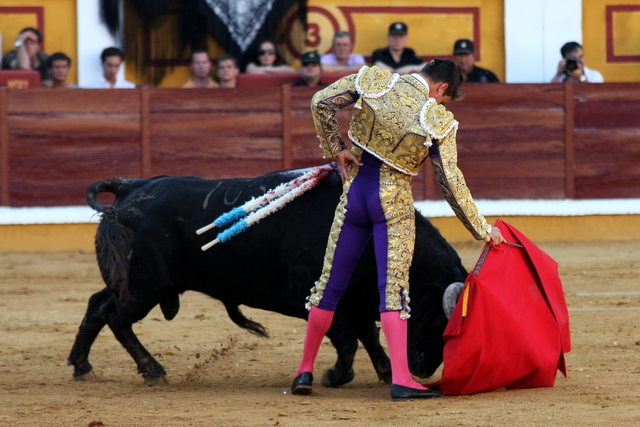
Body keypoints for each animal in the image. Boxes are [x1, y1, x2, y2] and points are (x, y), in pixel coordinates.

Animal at [66, 167, 464, 388]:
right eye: (439, 324)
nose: (423, 369)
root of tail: (130, 187)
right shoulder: (309, 293)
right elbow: (347, 339)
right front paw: (335, 377)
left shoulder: (359, 299)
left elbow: (368, 336)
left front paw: (386, 370)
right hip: (147, 286)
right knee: (116, 316)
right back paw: (152, 371)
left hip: (132, 282)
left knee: (97, 304)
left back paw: (82, 367)